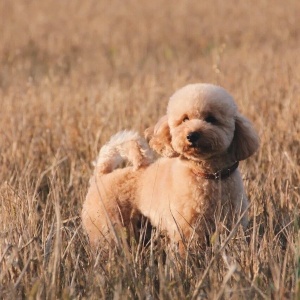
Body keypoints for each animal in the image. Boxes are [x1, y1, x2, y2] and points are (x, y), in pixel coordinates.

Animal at [81, 83, 258, 252]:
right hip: (106, 227)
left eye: (211, 119)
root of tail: (101, 175)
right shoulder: (187, 227)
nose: (192, 135)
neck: (207, 174)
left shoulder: (232, 223)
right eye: (184, 119)